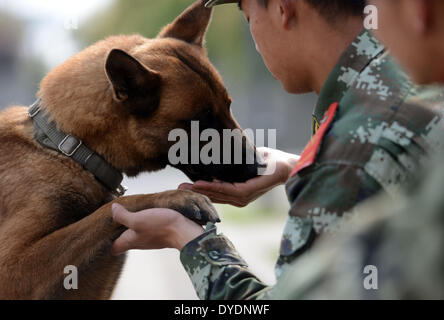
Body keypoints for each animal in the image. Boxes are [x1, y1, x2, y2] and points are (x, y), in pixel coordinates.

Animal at [0, 1, 260, 298]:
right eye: (200, 121)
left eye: (228, 106)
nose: (259, 166)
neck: (70, 150)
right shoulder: (13, 270)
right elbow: (116, 205)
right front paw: (175, 197)